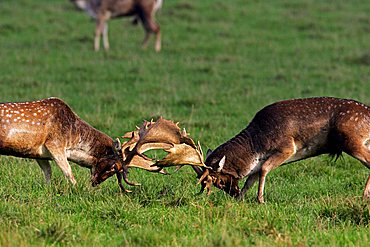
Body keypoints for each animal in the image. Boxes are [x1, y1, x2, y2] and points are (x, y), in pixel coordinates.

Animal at [0, 97, 135, 190]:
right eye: (112, 167)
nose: (95, 183)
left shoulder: (38, 153)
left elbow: (48, 172)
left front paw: (48, 190)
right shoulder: (55, 143)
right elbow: (68, 172)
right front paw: (78, 190)